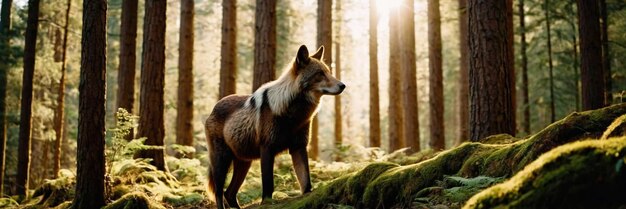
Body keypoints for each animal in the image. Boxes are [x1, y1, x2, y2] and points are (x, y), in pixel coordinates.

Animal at [204, 45, 344, 208]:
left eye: (328, 72)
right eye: (320, 74)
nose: (343, 85)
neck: (293, 116)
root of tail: (214, 108)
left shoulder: (298, 147)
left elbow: (306, 182)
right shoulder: (267, 149)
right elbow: (268, 184)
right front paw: (267, 203)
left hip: (244, 163)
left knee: (229, 193)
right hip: (222, 162)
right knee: (219, 193)